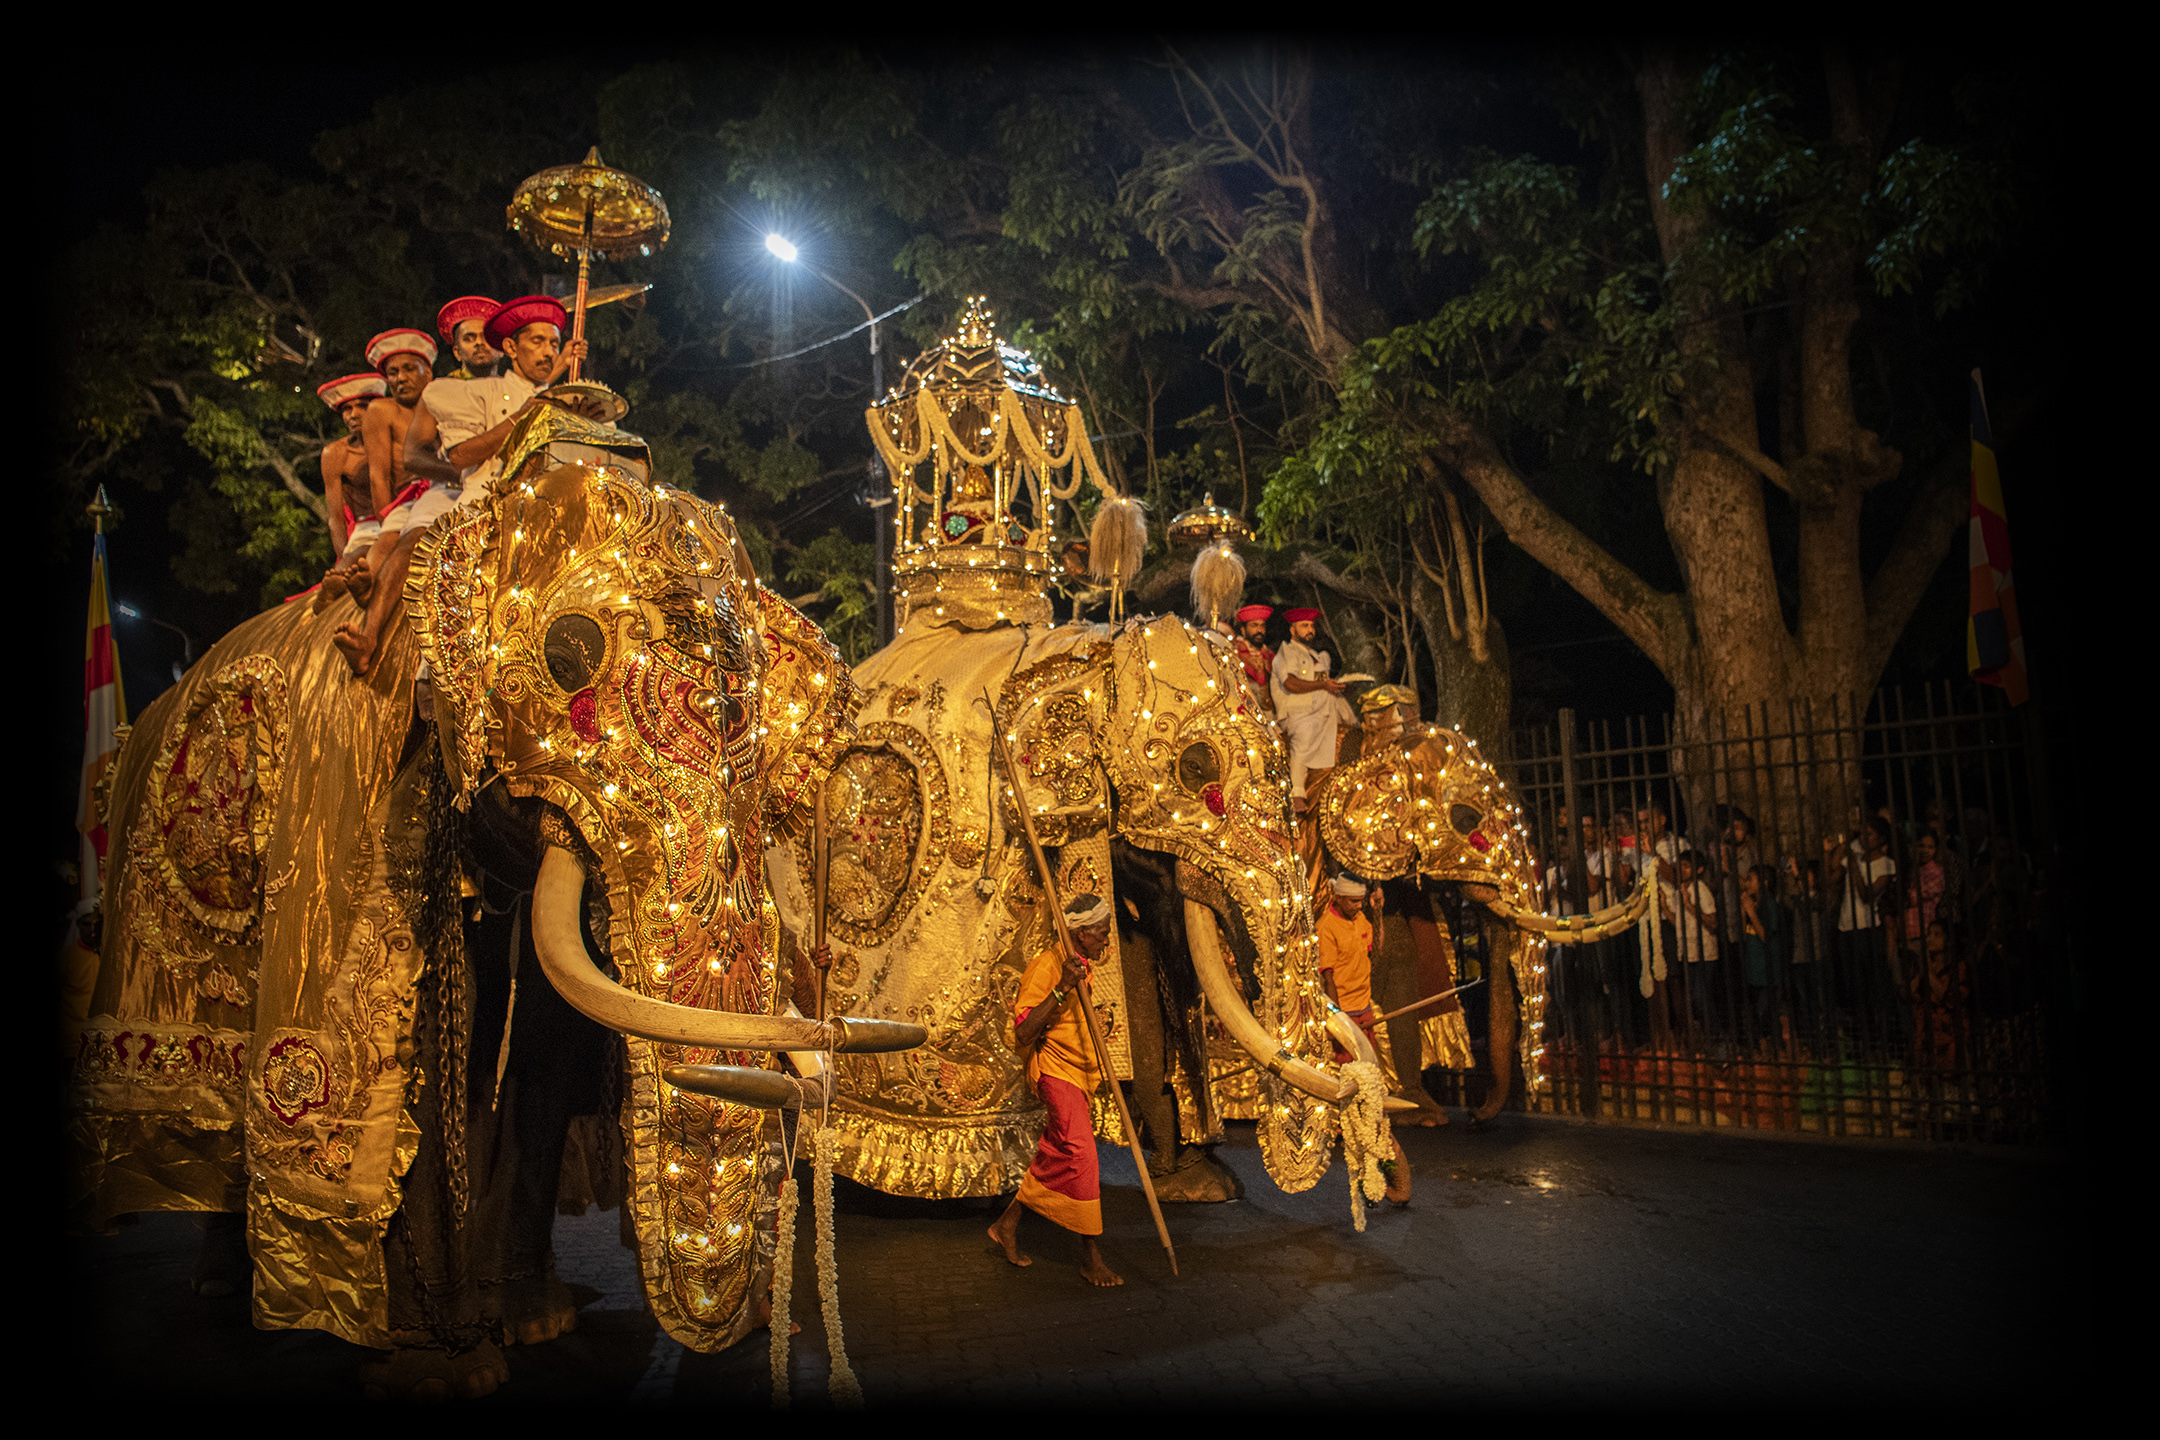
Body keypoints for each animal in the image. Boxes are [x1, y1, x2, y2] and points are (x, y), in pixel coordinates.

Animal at [63, 397, 924, 1398]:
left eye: (769, 707)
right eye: (570, 656)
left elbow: (550, 1046)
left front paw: (534, 1322)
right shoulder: (381, 777)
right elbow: (422, 1048)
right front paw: (440, 1369)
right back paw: (219, 1281)